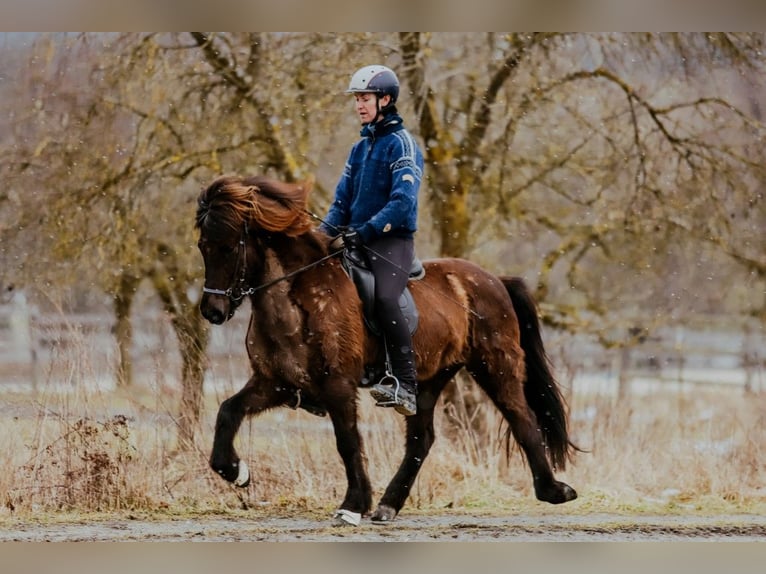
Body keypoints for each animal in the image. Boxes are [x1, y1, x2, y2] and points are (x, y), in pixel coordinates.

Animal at [195, 174, 577, 525]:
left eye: (228, 247)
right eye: (202, 246)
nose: (212, 311)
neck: (296, 298)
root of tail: (495, 280)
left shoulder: (338, 385)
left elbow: (347, 442)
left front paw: (352, 505)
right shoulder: (275, 382)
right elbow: (228, 411)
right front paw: (236, 472)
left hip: (495, 365)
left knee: (521, 417)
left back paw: (554, 490)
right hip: (430, 378)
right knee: (421, 439)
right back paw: (388, 505)